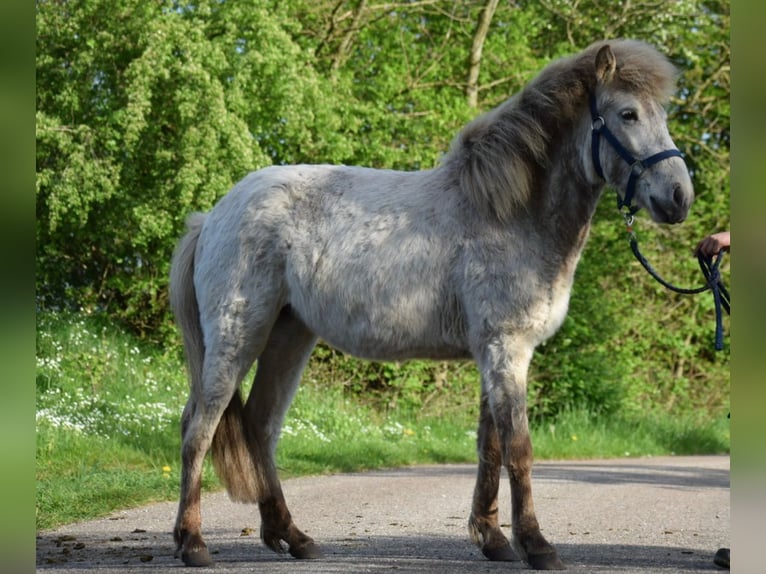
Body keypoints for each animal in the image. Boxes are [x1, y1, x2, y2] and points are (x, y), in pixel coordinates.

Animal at [169, 39, 693, 570]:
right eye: (627, 113)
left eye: (662, 114)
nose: (679, 197)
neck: (507, 213)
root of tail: (213, 214)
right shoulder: (507, 349)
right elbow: (519, 447)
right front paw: (537, 545)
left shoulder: (492, 353)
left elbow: (490, 446)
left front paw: (493, 539)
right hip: (237, 334)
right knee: (199, 427)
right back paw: (192, 543)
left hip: (289, 334)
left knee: (260, 427)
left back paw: (292, 537)